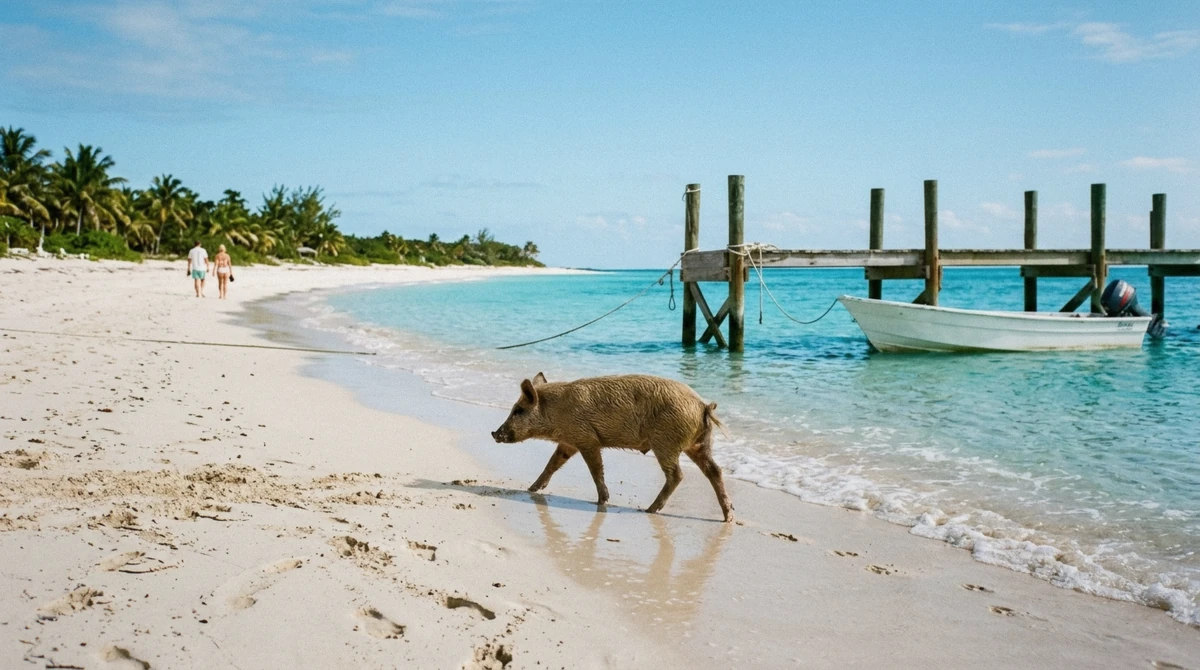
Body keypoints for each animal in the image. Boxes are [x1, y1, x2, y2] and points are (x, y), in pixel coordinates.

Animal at [491, 373, 734, 522]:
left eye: (519, 410)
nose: (494, 433)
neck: (557, 413)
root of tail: (703, 405)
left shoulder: (587, 438)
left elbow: (595, 469)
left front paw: (602, 500)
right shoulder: (569, 442)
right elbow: (552, 463)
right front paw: (531, 489)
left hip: (666, 442)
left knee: (677, 474)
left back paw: (649, 509)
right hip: (699, 444)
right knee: (715, 471)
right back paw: (728, 517)